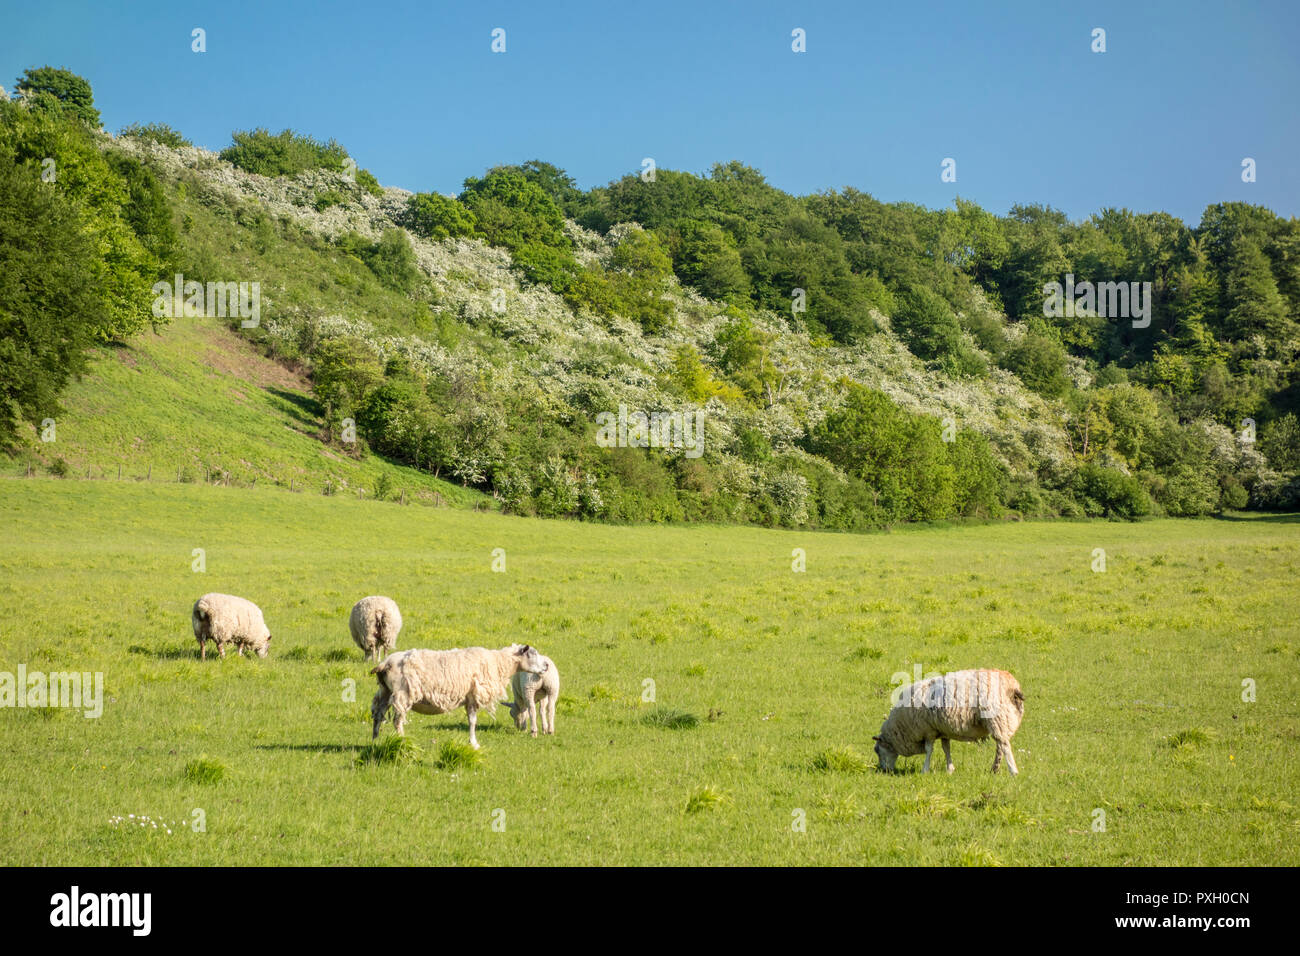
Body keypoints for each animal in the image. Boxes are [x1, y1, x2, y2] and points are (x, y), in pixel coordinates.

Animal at [371, 647, 548, 749]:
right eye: (532, 654)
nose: (546, 666)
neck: (499, 662)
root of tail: (385, 663)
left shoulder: (469, 698)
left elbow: (471, 720)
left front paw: (472, 742)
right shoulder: (475, 695)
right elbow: (473, 721)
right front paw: (475, 744)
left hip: (385, 691)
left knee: (378, 714)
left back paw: (375, 739)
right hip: (403, 693)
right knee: (397, 720)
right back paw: (403, 741)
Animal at [873, 671, 1024, 775]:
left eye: (877, 751)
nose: (884, 771)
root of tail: (1012, 686)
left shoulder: (928, 730)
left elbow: (929, 750)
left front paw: (925, 770)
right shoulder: (942, 730)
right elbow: (946, 749)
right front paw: (950, 769)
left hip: (996, 718)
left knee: (1004, 746)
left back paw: (1013, 772)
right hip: (1002, 721)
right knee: (1000, 746)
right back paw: (995, 769)